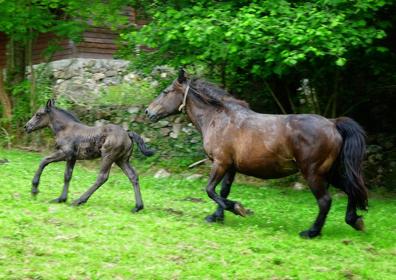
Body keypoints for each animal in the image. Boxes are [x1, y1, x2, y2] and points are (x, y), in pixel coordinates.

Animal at [23, 99, 153, 211]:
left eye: (38, 114)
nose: (26, 127)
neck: (65, 129)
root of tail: (128, 134)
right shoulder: (72, 158)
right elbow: (67, 176)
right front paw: (61, 199)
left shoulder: (65, 153)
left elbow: (44, 161)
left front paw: (34, 189)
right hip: (122, 160)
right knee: (133, 176)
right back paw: (138, 207)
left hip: (108, 156)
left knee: (102, 177)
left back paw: (79, 200)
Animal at [145, 69, 368, 237]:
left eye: (165, 91)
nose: (148, 112)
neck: (217, 118)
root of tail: (332, 123)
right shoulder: (230, 167)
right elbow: (222, 191)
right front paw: (217, 216)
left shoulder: (220, 163)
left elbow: (210, 190)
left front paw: (237, 208)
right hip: (329, 172)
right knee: (350, 190)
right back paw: (354, 220)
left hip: (313, 173)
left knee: (325, 201)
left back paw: (312, 232)